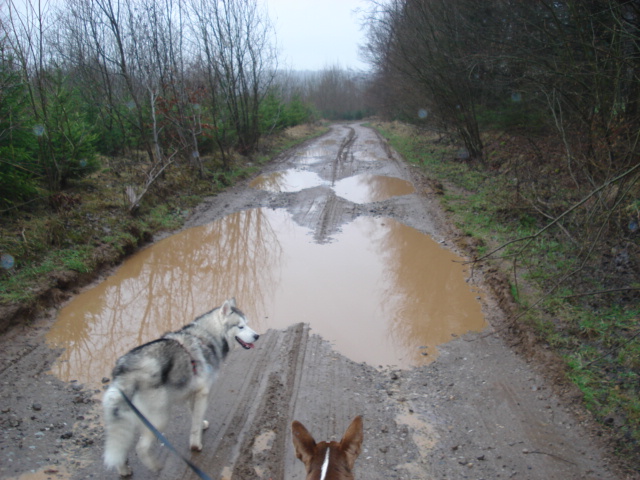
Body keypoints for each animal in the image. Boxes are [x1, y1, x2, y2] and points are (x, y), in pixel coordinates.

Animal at [102, 298, 258, 474]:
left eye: (247, 324)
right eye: (240, 326)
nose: (257, 336)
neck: (206, 337)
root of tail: (125, 371)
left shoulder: (193, 392)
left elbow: (195, 415)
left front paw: (201, 424)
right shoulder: (203, 393)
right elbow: (195, 424)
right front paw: (196, 445)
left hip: (125, 422)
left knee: (120, 450)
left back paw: (123, 470)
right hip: (159, 417)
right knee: (141, 448)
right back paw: (154, 466)